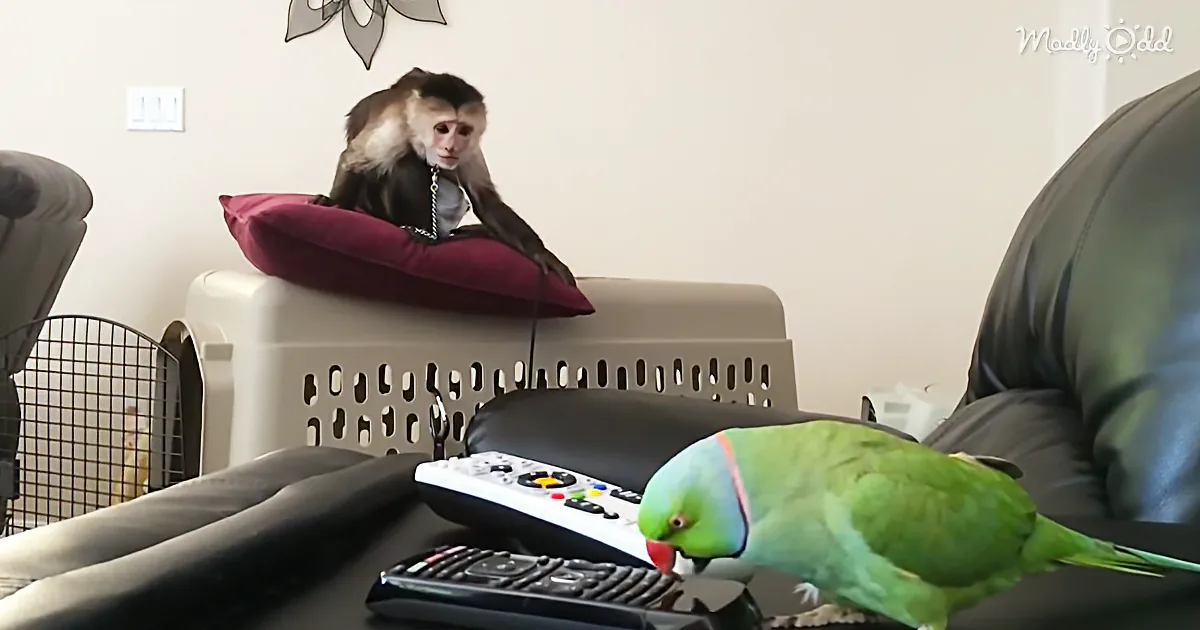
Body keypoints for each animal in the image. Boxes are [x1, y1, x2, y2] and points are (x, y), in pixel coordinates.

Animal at [312, 67, 576, 287]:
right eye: (442, 129)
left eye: (463, 131)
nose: (451, 146)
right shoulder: (396, 127)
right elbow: (354, 161)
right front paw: (335, 203)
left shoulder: (470, 148)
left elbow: (486, 200)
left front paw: (541, 253)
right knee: (404, 166)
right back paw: (428, 236)